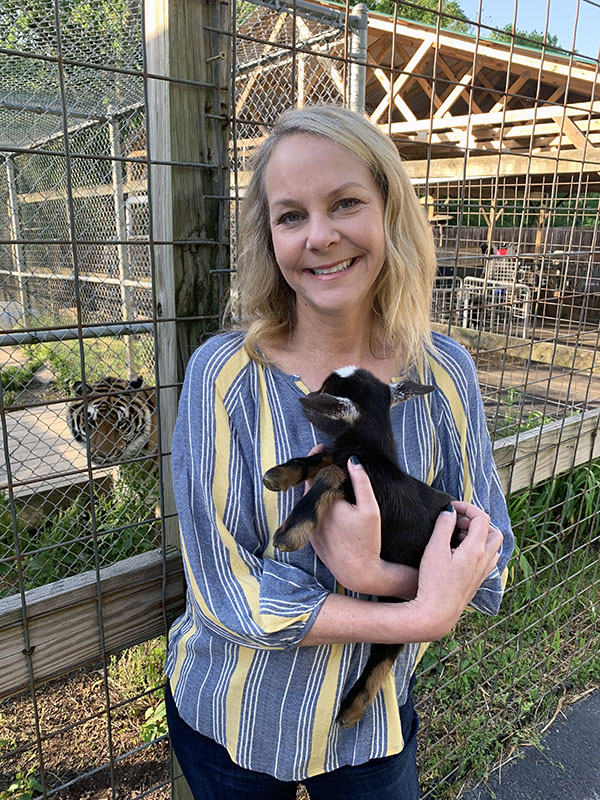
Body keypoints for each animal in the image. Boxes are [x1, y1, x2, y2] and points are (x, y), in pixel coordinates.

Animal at [264, 366, 458, 728]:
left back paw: (350, 711)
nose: (305, 397)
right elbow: (318, 458)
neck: (371, 454)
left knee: (383, 656)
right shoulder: (344, 457)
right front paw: (278, 475)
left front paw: (290, 532)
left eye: (326, 392)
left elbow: (328, 473)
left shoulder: (355, 479)